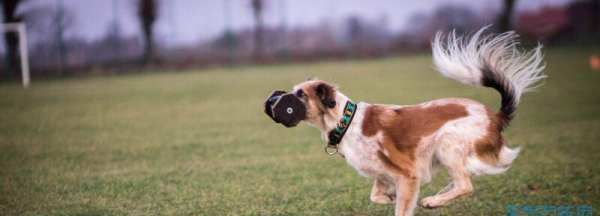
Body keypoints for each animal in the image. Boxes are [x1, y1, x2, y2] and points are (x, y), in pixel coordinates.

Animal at [286, 27, 544, 215]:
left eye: (300, 94)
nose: (280, 99)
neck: (346, 121)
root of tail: (495, 116)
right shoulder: (384, 174)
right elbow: (377, 196)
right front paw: (390, 197)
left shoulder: (408, 174)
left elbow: (401, 207)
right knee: (463, 181)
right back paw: (439, 196)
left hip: (448, 142)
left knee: (465, 185)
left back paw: (434, 201)